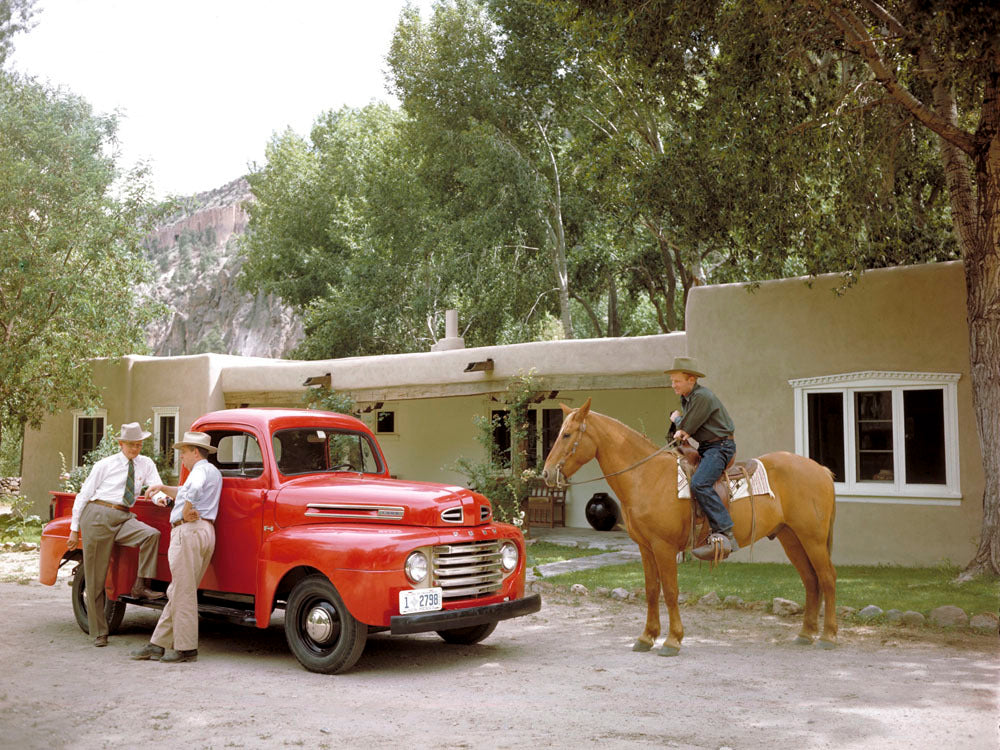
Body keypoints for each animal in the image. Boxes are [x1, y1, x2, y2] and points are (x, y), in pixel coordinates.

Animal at [540, 400, 836, 656]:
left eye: (567, 435)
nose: (546, 473)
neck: (646, 476)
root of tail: (821, 469)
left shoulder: (664, 547)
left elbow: (671, 592)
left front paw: (672, 641)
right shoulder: (645, 547)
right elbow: (651, 591)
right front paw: (646, 637)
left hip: (813, 538)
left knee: (827, 578)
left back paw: (828, 636)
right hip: (791, 537)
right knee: (811, 581)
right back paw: (806, 634)